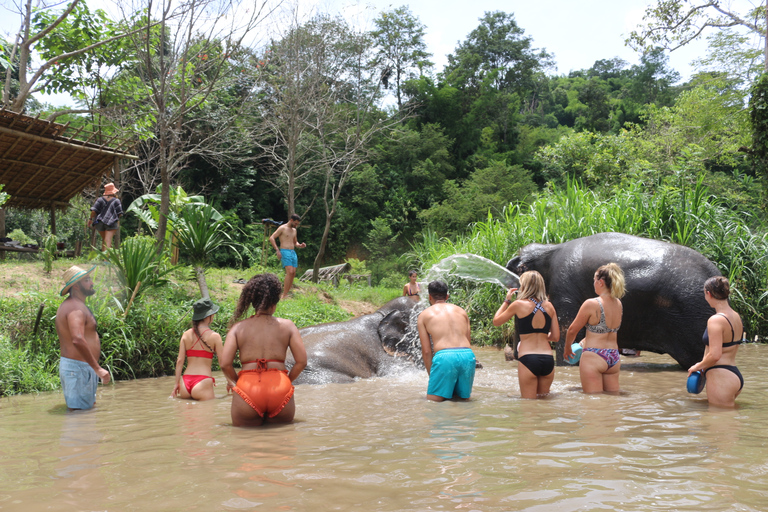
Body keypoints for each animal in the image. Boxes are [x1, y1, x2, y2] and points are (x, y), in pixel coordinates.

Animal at [510, 234, 720, 370]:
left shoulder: (565, 287)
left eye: (521, 271)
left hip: (693, 315)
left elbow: (568, 328)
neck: (550, 248)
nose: (511, 355)